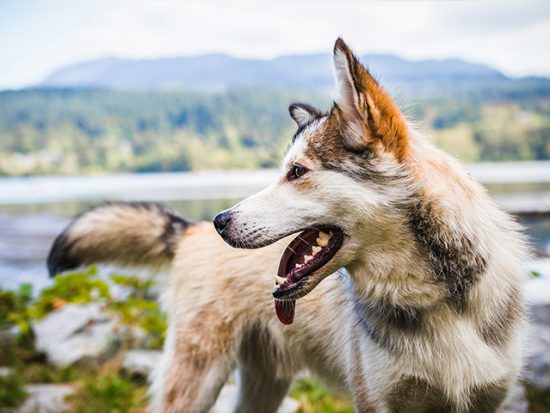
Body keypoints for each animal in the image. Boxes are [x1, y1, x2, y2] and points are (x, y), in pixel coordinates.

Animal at [49, 37, 528, 408]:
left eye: (296, 172)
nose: (221, 220)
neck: (438, 300)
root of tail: (189, 230)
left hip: (262, 386)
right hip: (196, 380)